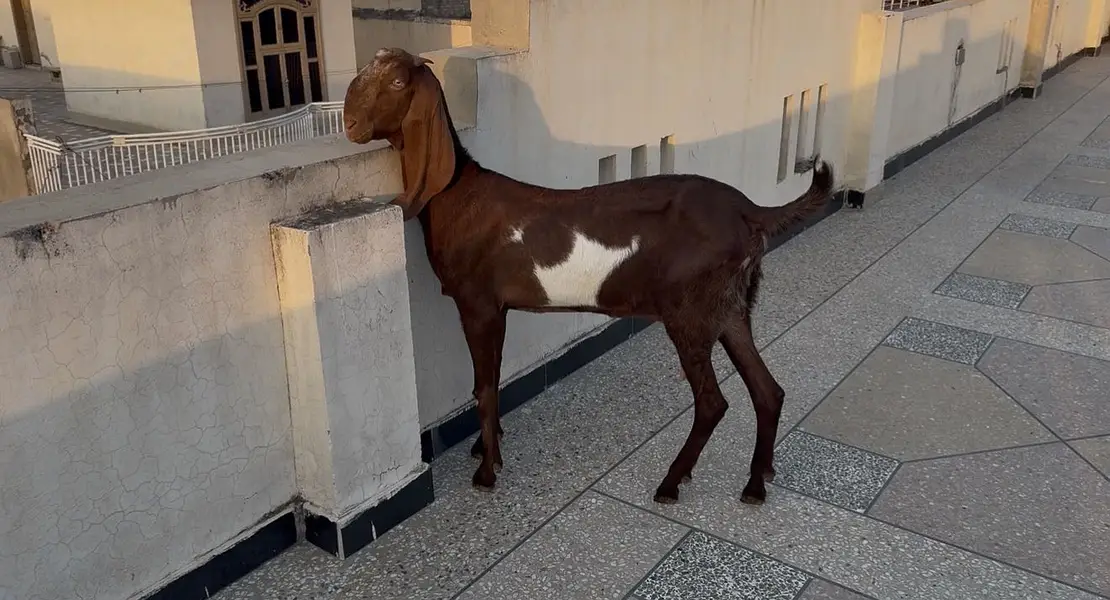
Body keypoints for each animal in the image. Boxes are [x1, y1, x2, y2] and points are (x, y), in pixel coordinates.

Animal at [342, 48, 835, 505]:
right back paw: (756, 483)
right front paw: (487, 445)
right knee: (768, 390)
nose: (349, 120)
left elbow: (483, 385)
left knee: (713, 402)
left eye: (398, 81)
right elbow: (492, 380)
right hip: (731, 306)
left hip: (689, 312)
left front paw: (487, 471)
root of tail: (750, 211)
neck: (458, 193)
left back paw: (671, 483)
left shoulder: (478, 304)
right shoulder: (498, 309)